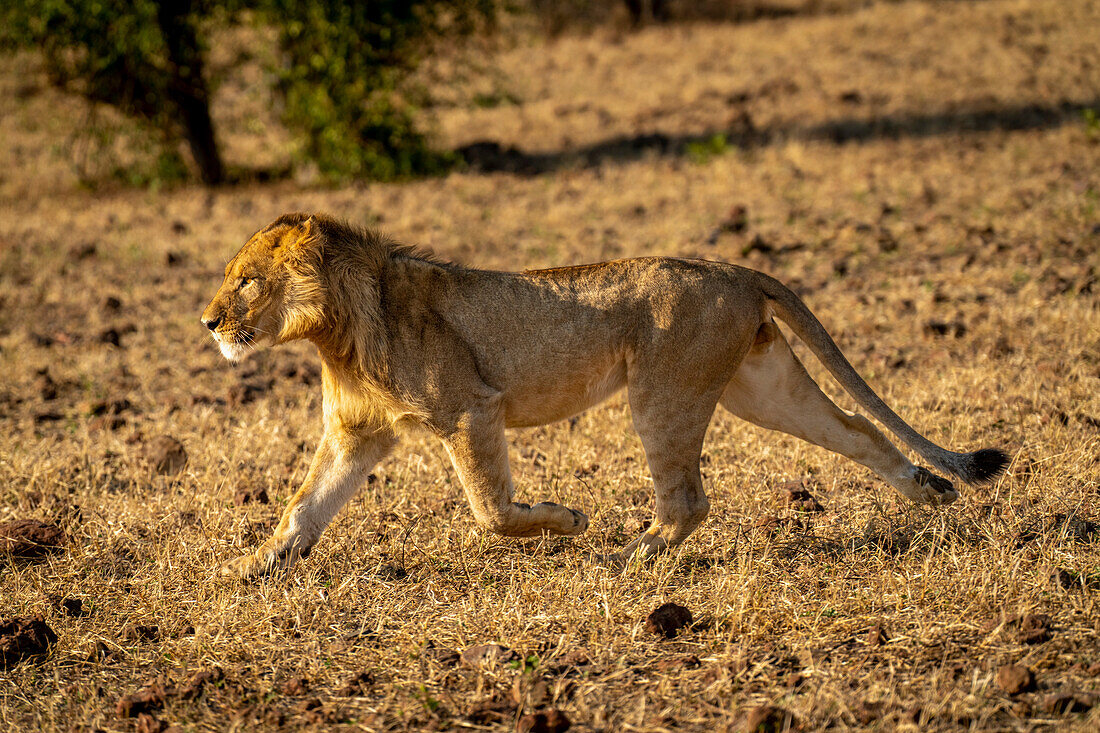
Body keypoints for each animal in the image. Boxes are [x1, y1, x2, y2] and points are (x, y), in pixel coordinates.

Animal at [198, 211, 1007, 576]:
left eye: (246, 281)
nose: (207, 322)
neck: (336, 331)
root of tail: (734, 268)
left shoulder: (469, 410)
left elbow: (493, 511)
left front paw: (566, 519)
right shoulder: (358, 435)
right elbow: (304, 507)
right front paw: (253, 567)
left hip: (663, 392)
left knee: (688, 500)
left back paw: (628, 554)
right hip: (763, 389)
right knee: (859, 433)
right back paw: (928, 489)